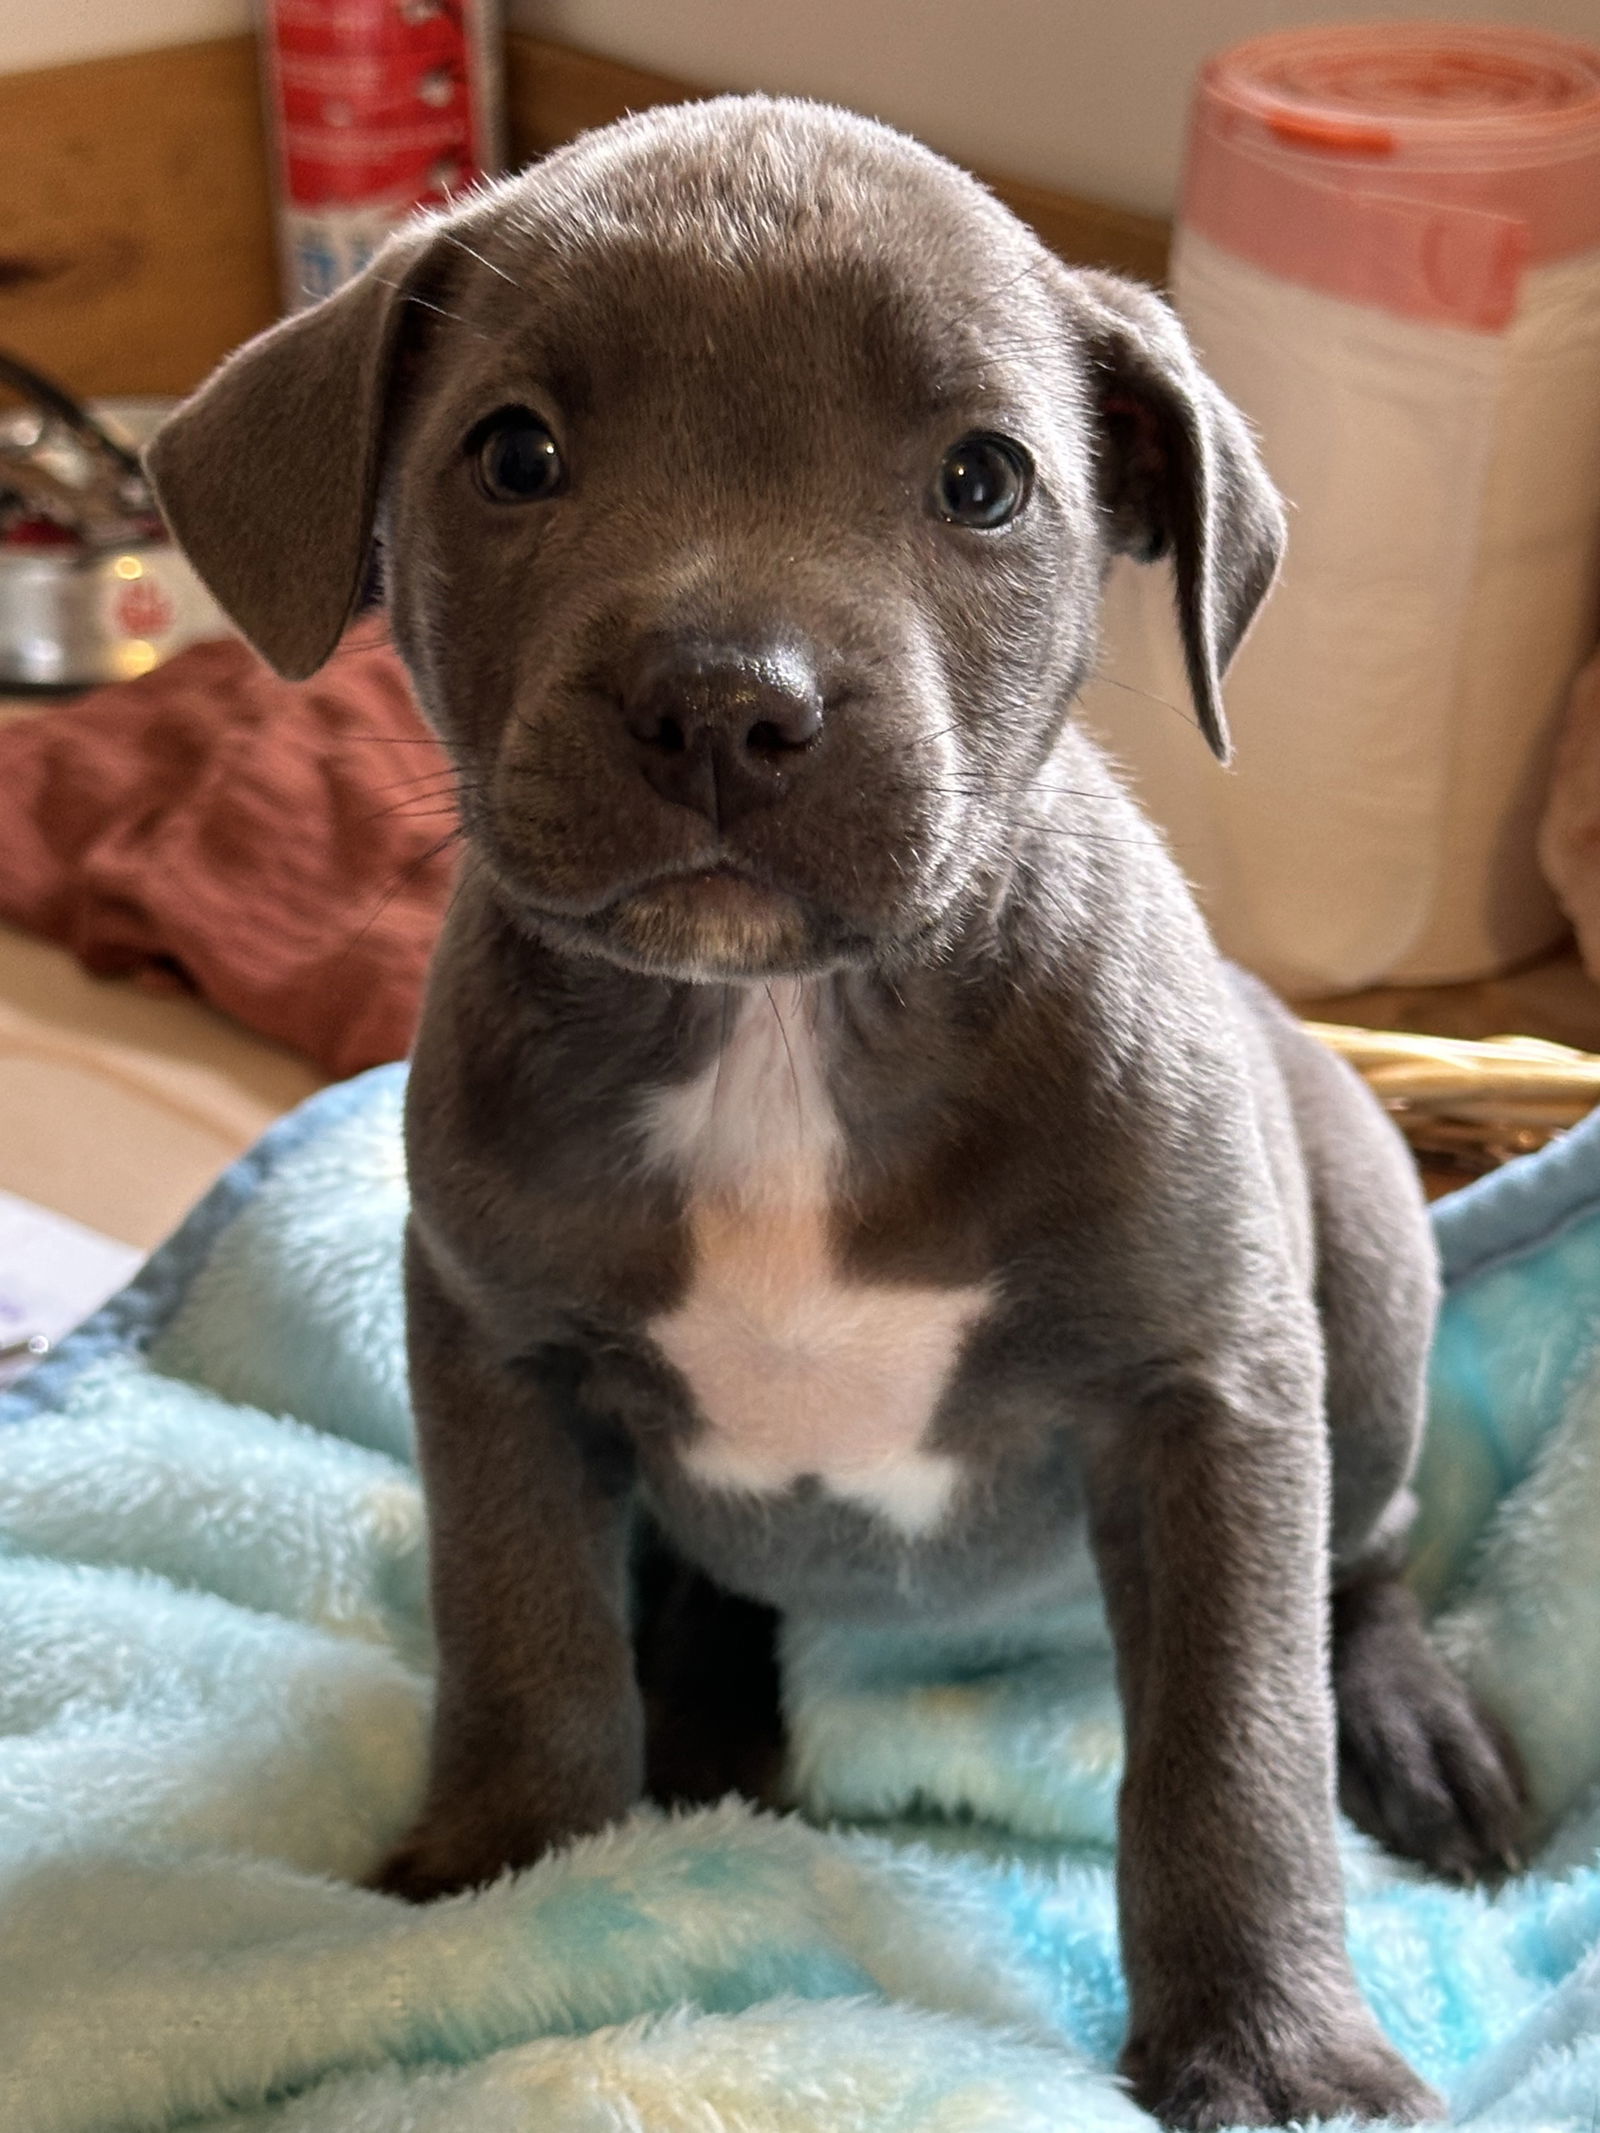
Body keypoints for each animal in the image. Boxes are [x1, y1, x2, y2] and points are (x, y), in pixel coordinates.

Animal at [147, 95, 1527, 2115]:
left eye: (984, 481)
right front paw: (504, 1883)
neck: (779, 1037)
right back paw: (713, 1728)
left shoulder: (1212, 1392)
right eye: (514, 452)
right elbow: (522, 1624)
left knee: (1363, 1558)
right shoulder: (490, 1348)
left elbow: (1231, 1740)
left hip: (1363, 1274)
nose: (727, 701)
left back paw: (1420, 1734)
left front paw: (1277, 2049)